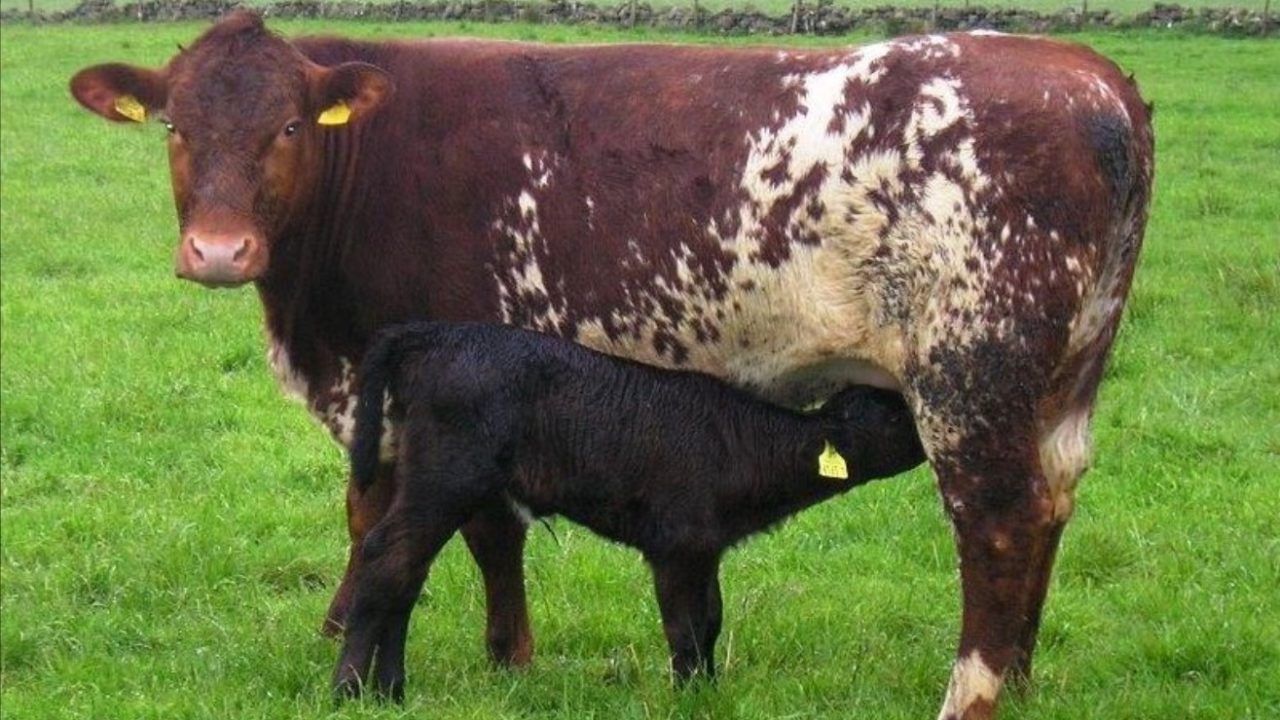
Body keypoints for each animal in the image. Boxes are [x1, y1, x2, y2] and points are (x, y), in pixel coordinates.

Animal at [336, 320, 927, 699]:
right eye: (898, 415)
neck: (742, 444)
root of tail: (432, 336)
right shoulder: (675, 543)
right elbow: (686, 628)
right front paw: (689, 697)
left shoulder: (704, 545)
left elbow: (711, 621)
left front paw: (707, 688)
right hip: (447, 473)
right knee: (387, 557)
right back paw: (350, 689)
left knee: (407, 569)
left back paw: (389, 690)